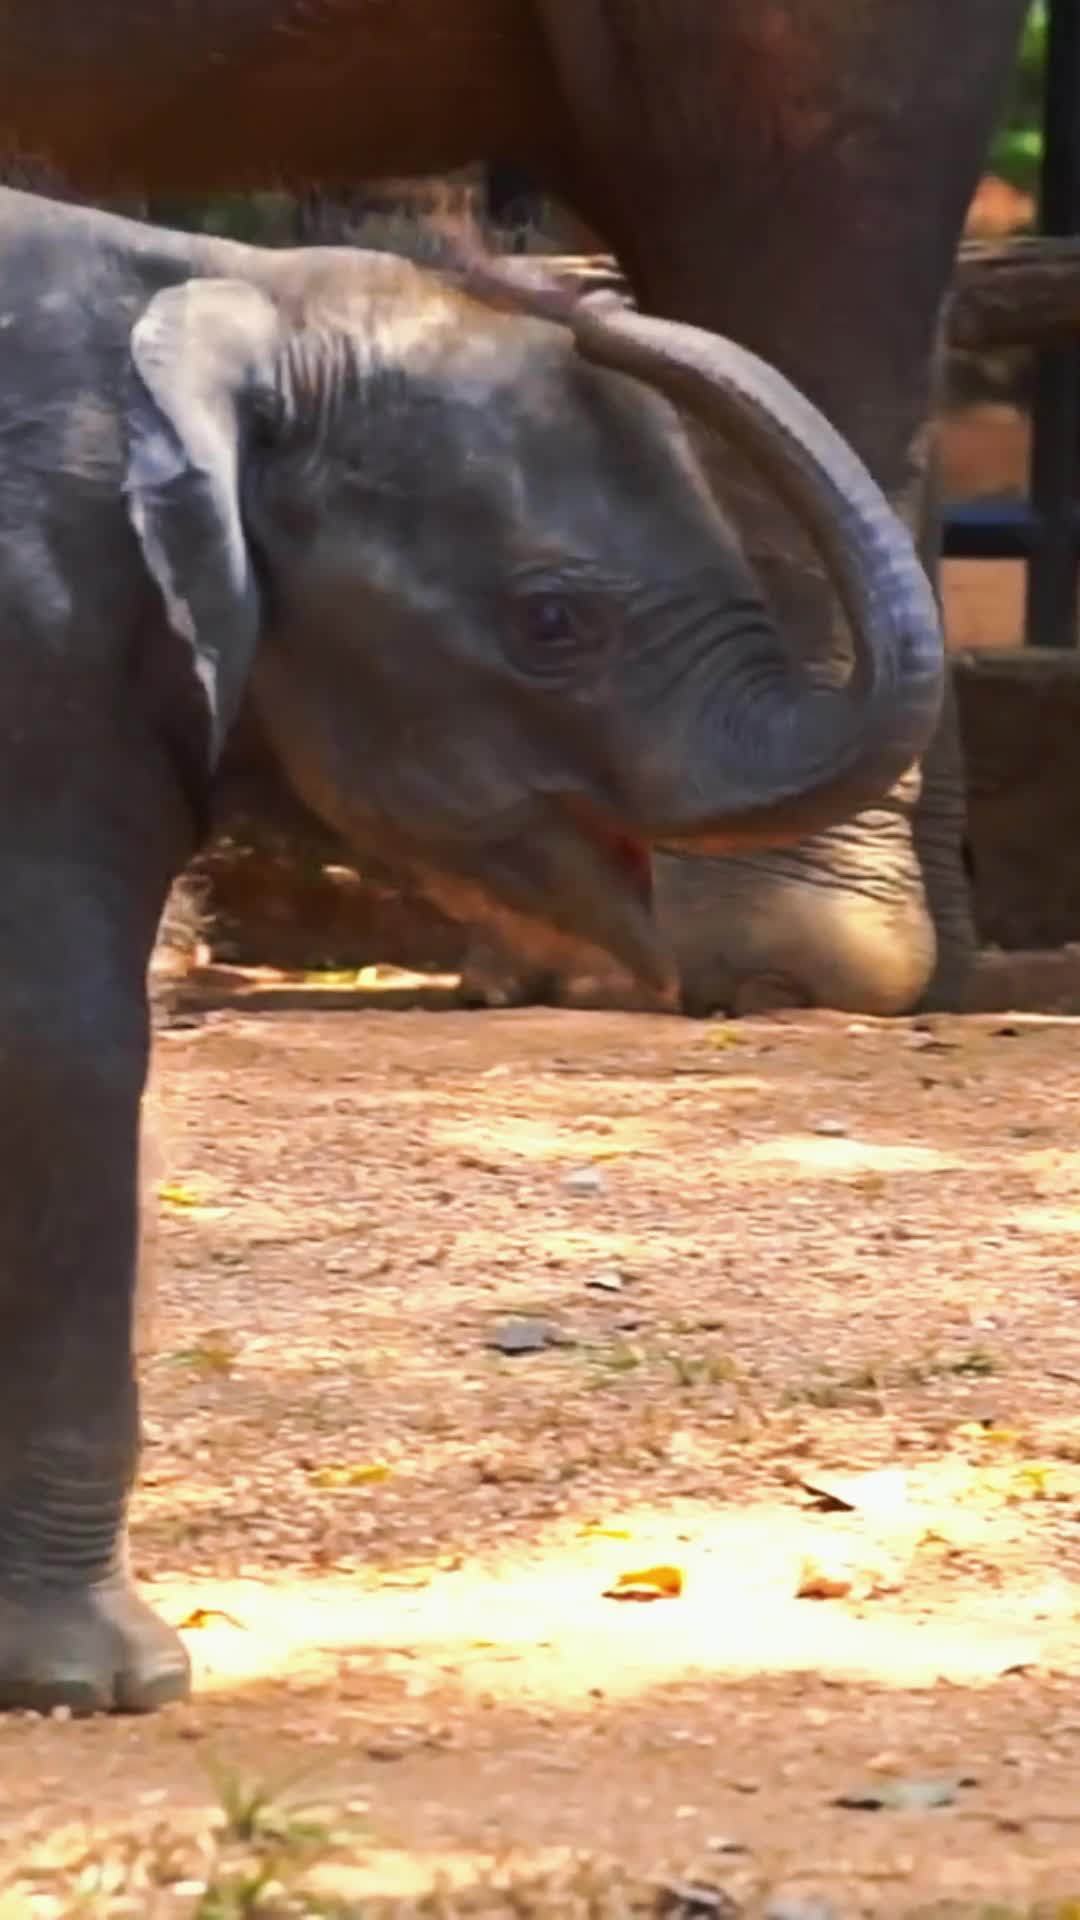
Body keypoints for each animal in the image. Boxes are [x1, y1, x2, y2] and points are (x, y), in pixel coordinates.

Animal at [0, 185, 942, 1713]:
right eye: (554, 622)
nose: (582, 294)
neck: (230, 291)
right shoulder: (40, 632)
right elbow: (67, 1048)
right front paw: (110, 1686)